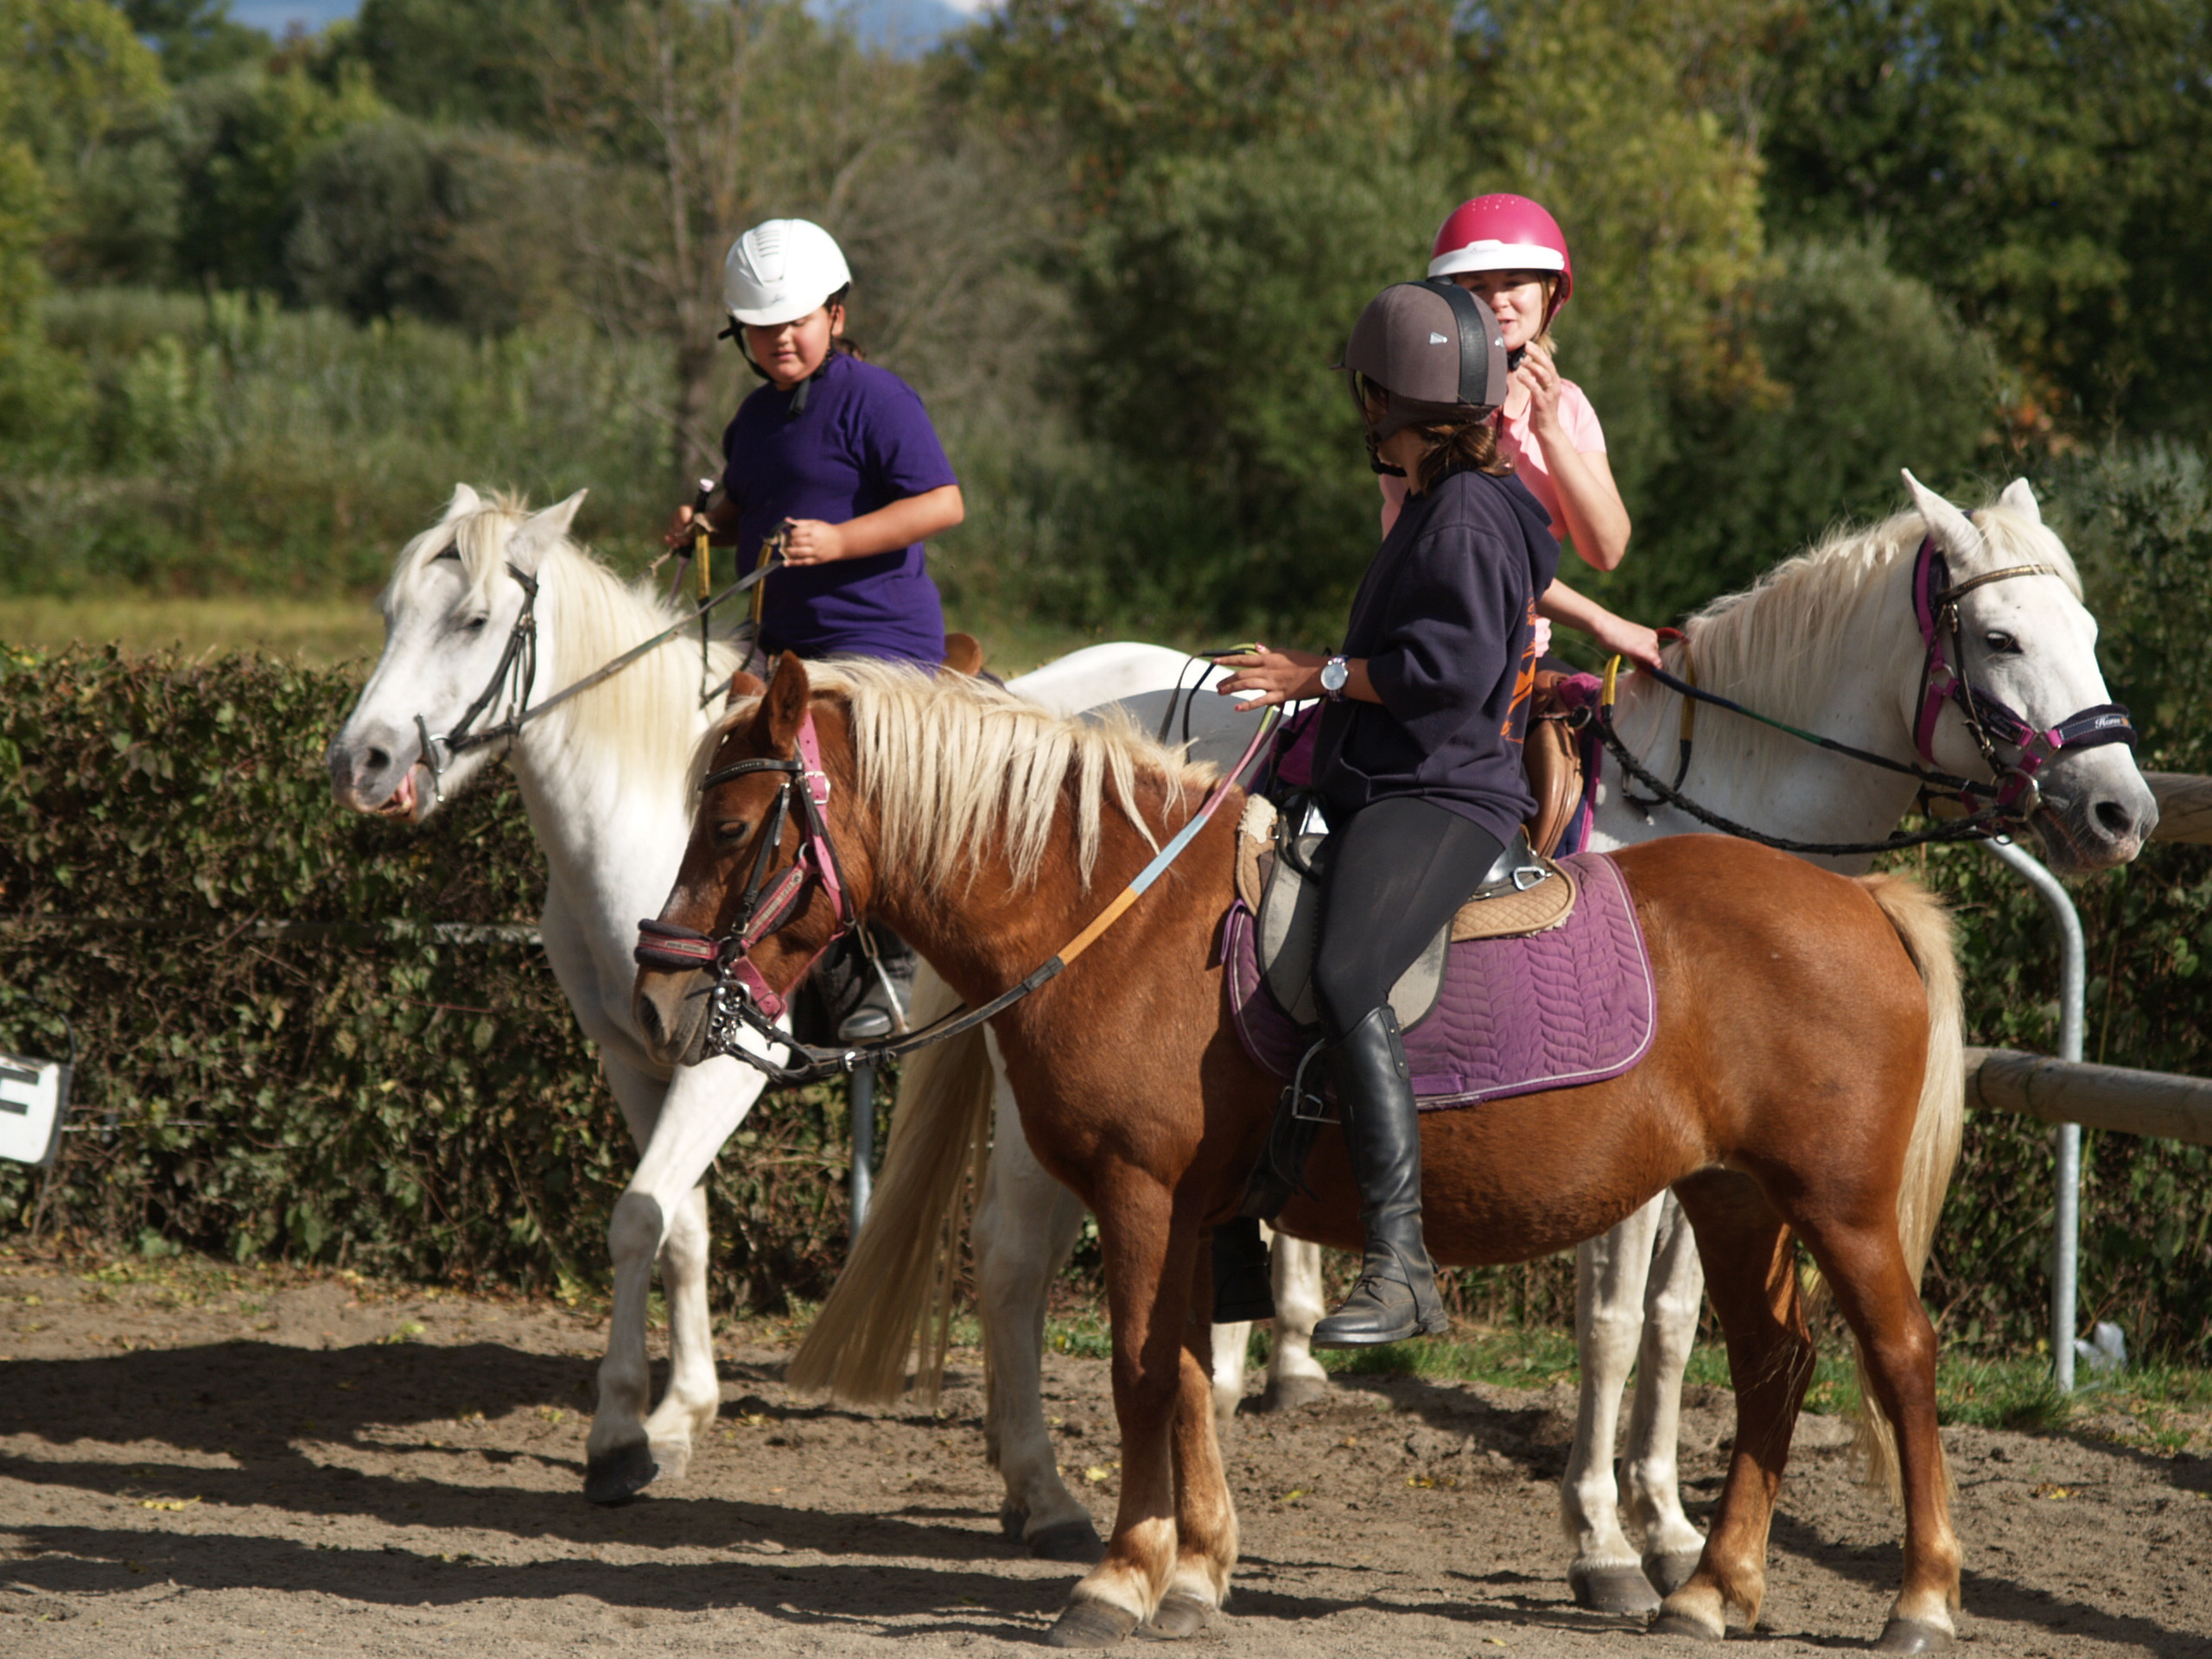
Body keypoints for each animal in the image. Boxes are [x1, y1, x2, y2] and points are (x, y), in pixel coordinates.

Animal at [632, 654, 1964, 1654]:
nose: (657, 995)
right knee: (1777, 1367)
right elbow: (1178, 1373)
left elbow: (1139, 1377)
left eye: (734, 825)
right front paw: (1194, 1570)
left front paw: (1121, 1577)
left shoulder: (1140, 1195)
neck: (1112, 913)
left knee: (1900, 1360)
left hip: (1836, 1206)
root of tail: (1860, 904)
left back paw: (1922, 1600)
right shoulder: (1181, 1208)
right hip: (1737, 1198)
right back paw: (1712, 1591)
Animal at [796, 471, 2158, 1601]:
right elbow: (1614, 1330)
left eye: (2091, 636)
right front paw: (1603, 1542)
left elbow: (1679, 1328)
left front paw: (1673, 1529)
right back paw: (1043, 1492)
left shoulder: (1718, 1160)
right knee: (1014, 1263)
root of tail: (1042, 688)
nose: (2121, 811)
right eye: (1998, 638)